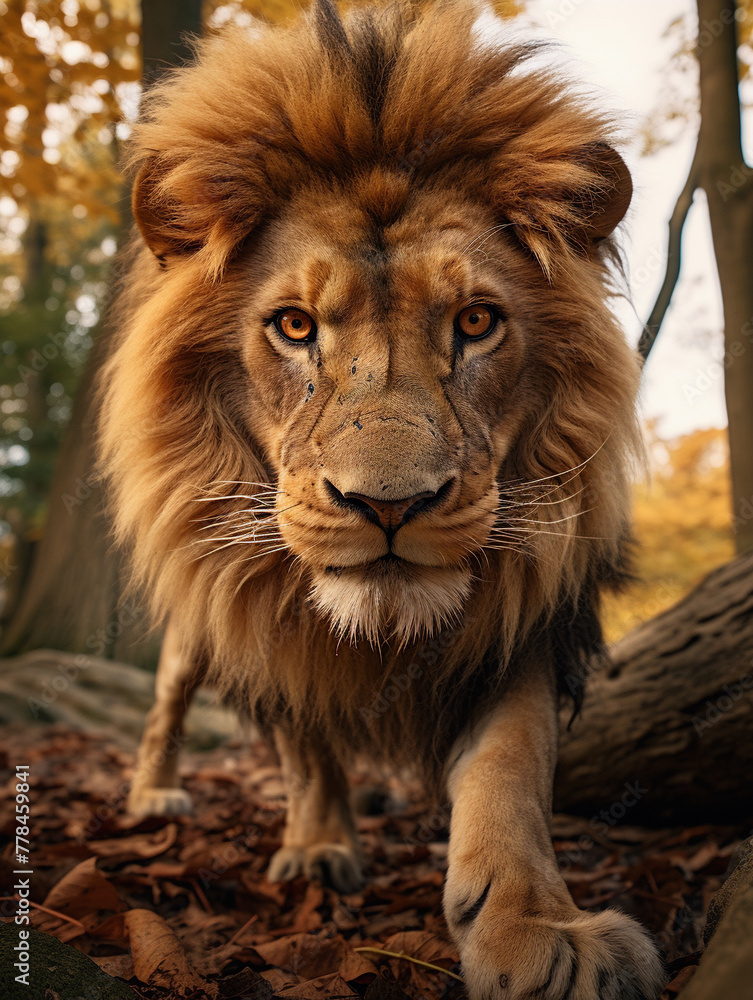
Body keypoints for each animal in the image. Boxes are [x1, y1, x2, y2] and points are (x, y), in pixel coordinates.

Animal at [98, 1, 666, 997]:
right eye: (294, 326)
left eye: (475, 321)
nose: (390, 506)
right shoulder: (264, 621)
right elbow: (306, 744)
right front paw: (320, 845)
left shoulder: (524, 611)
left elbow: (511, 768)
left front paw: (540, 929)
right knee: (168, 701)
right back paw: (155, 791)